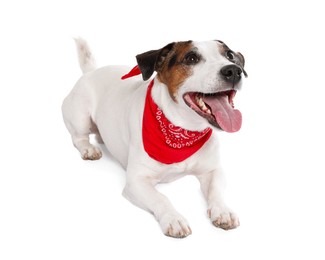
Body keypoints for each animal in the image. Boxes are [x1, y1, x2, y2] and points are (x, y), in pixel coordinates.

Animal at [62, 37, 247, 239]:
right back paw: (89, 149)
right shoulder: (136, 182)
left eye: (229, 55)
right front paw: (174, 218)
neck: (183, 132)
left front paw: (223, 211)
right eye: (191, 58)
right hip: (80, 116)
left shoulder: (213, 171)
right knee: (78, 137)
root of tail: (91, 71)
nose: (233, 71)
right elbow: (161, 198)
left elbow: (216, 191)